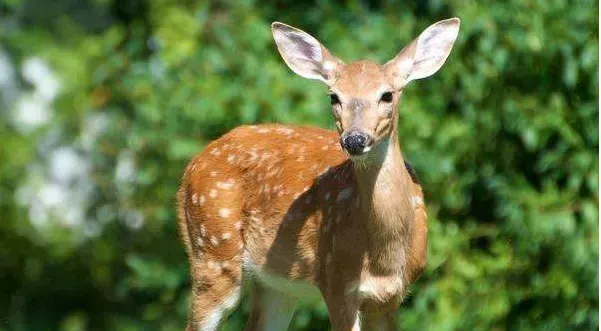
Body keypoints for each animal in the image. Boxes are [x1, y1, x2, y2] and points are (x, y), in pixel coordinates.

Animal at [177, 18, 460, 331]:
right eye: (334, 97)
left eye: (387, 95)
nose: (354, 139)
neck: (384, 258)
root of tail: (191, 167)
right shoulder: (336, 281)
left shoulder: (390, 297)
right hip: (213, 253)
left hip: (276, 283)